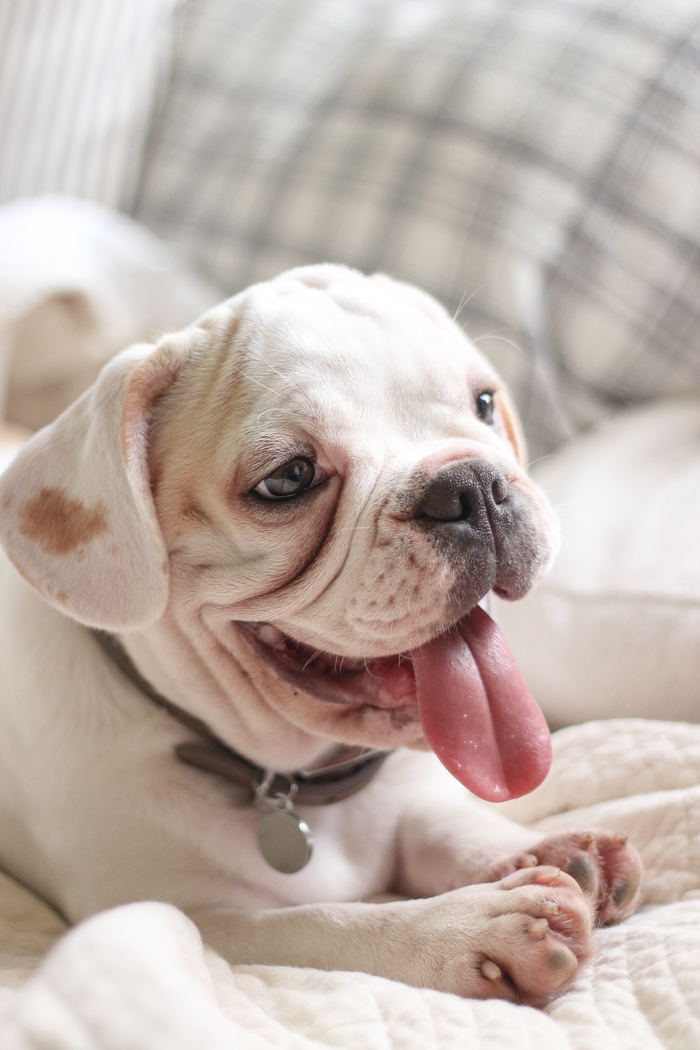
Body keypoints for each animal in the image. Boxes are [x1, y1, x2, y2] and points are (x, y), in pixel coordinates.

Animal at [0, 266, 642, 1003]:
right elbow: (327, 920)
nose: (473, 485)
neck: (295, 785)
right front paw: (472, 927)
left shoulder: (408, 805)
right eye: (288, 478)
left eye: (483, 403)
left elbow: (445, 826)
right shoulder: (189, 914)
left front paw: (549, 852)